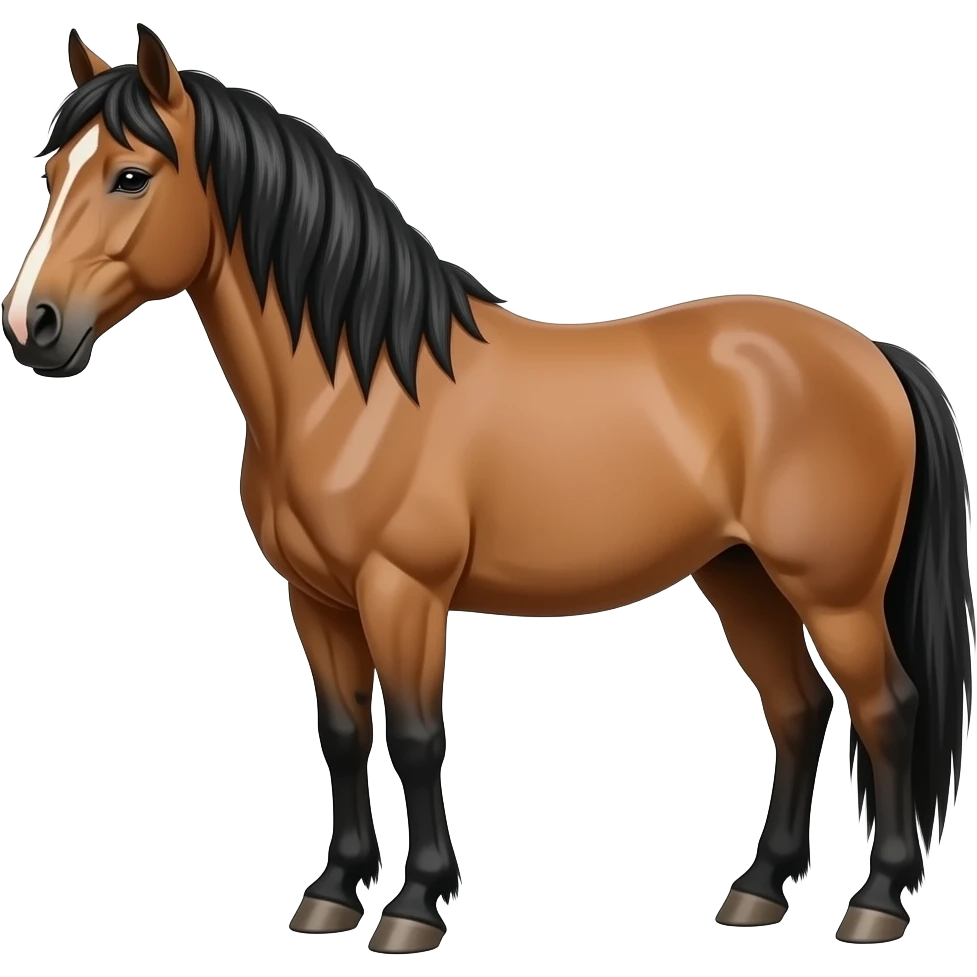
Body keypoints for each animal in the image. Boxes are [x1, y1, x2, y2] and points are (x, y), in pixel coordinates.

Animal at [2, 25, 973, 953]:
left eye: (131, 175)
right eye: (52, 173)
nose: (33, 325)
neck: (354, 387)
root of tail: (870, 353)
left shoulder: (402, 591)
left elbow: (416, 737)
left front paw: (413, 908)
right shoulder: (316, 598)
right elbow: (343, 732)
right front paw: (331, 893)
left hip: (832, 592)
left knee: (885, 708)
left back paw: (875, 903)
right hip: (742, 577)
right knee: (798, 710)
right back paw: (757, 890)